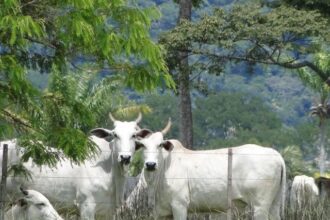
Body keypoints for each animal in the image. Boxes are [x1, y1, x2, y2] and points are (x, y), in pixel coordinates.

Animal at [136, 120, 286, 220]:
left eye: (160, 145)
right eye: (143, 145)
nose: (150, 164)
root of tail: (276, 154)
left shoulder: (180, 205)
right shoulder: (161, 212)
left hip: (260, 206)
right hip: (274, 204)